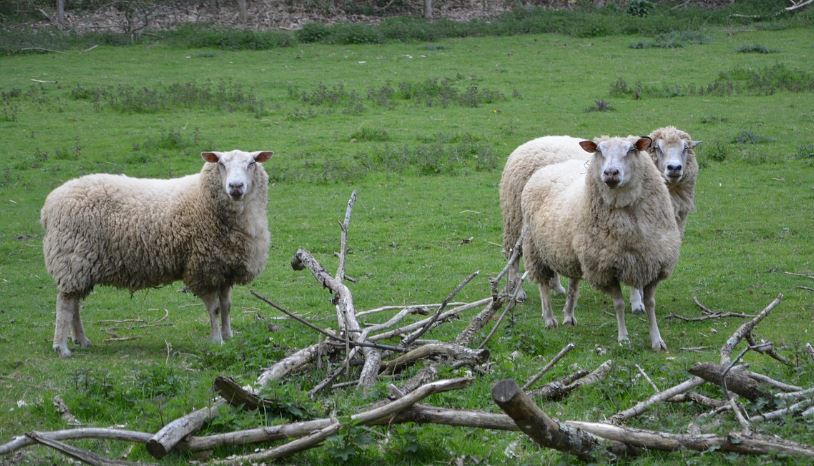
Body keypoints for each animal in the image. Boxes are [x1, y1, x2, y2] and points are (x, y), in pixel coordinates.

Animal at [41, 150, 272, 357]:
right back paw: (61, 347)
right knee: (65, 303)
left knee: (74, 304)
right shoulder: (203, 269)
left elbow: (226, 306)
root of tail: (50, 204)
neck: (203, 199)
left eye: (252, 163)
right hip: (71, 258)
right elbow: (214, 308)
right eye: (221, 164)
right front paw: (217, 340)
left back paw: (81, 340)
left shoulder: (225, 269)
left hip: (81, 265)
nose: (235, 187)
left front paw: (228, 335)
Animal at [520, 136, 680, 350]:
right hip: (535, 249)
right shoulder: (606, 269)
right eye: (599, 151)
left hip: (572, 254)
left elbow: (650, 304)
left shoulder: (652, 265)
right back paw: (549, 319)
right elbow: (619, 304)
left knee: (573, 285)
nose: (611, 173)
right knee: (543, 285)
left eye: (631, 149)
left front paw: (657, 340)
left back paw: (568, 316)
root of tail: (548, 168)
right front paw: (623, 338)